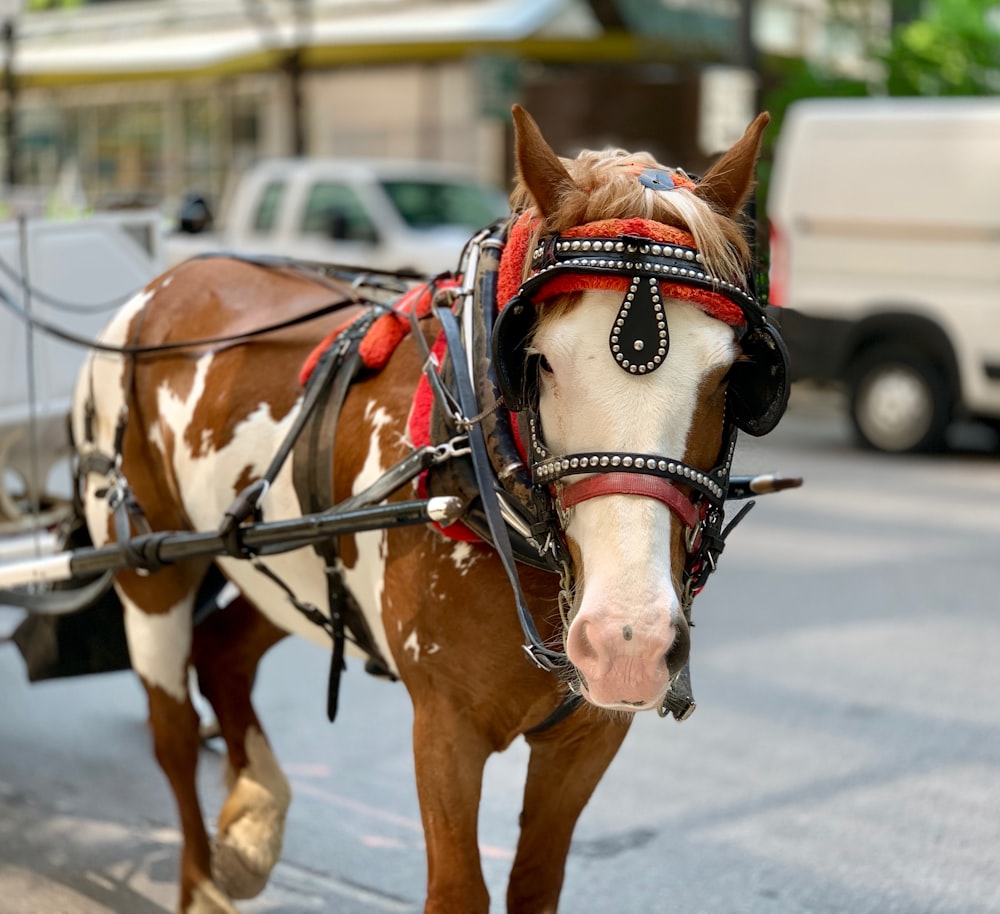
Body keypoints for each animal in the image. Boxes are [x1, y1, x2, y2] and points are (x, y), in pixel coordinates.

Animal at [70, 103, 788, 908]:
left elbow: (535, 885)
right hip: (151, 572)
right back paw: (199, 879)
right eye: (540, 360)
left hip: (286, 566)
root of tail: (169, 279)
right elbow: (458, 891)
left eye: (731, 376)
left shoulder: (588, 737)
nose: (626, 640)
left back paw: (253, 818)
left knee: (222, 653)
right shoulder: (445, 728)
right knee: (170, 728)